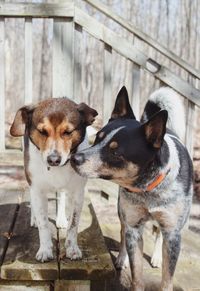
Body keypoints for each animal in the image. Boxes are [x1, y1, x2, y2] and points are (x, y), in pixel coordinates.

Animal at [10, 97, 97, 262]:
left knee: (61, 195)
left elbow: (73, 224)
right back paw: (34, 219)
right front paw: (45, 249)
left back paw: (61, 218)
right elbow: (43, 224)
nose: (53, 160)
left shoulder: (78, 193)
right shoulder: (37, 189)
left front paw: (72, 248)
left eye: (68, 132)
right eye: (42, 131)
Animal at [70, 88, 194, 291]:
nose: (74, 158)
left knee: (158, 233)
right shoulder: (133, 227)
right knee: (122, 233)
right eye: (97, 139)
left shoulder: (173, 233)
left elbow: (167, 278)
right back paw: (122, 258)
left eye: (115, 152)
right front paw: (128, 263)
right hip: (123, 212)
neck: (148, 189)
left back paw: (157, 257)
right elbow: (137, 274)